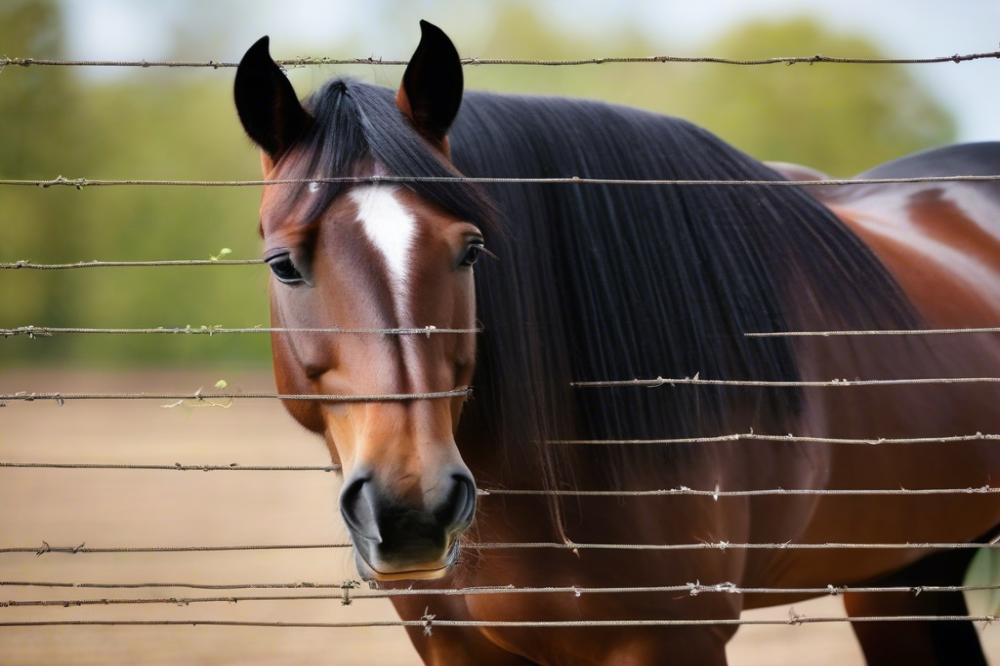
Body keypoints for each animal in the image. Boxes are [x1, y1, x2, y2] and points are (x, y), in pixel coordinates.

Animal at [234, 22, 1000, 664]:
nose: (411, 508)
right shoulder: (454, 646)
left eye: (472, 251)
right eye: (283, 264)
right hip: (903, 575)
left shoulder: (675, 639)